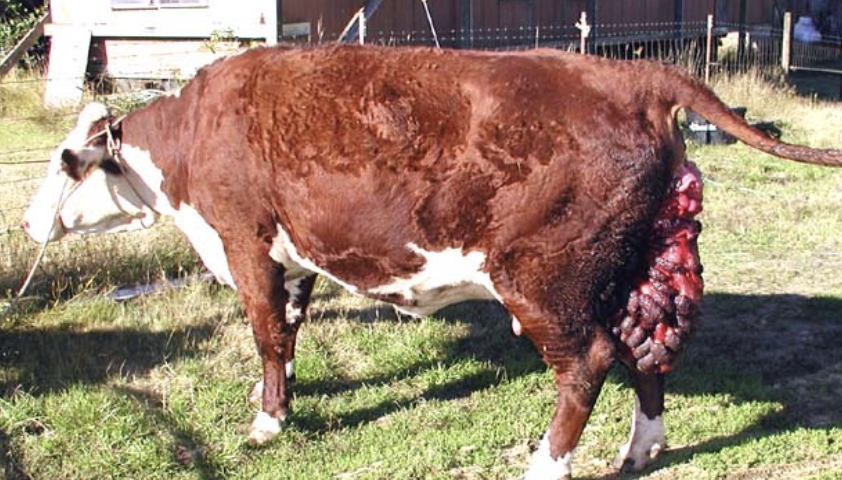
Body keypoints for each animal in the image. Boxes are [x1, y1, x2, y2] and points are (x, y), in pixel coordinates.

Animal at [23, 45, 842, 480]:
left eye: (64, 162)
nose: (29, 222)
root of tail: (630, 76)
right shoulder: (296, 252)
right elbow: (286, 332)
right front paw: (279, 403)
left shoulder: (245, 240)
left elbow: (263, 332)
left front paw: (265, 424)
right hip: (633, 268)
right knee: (646, 352)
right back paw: (639, 450)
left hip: (543, 278)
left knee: (590, 362)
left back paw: (546, 463)